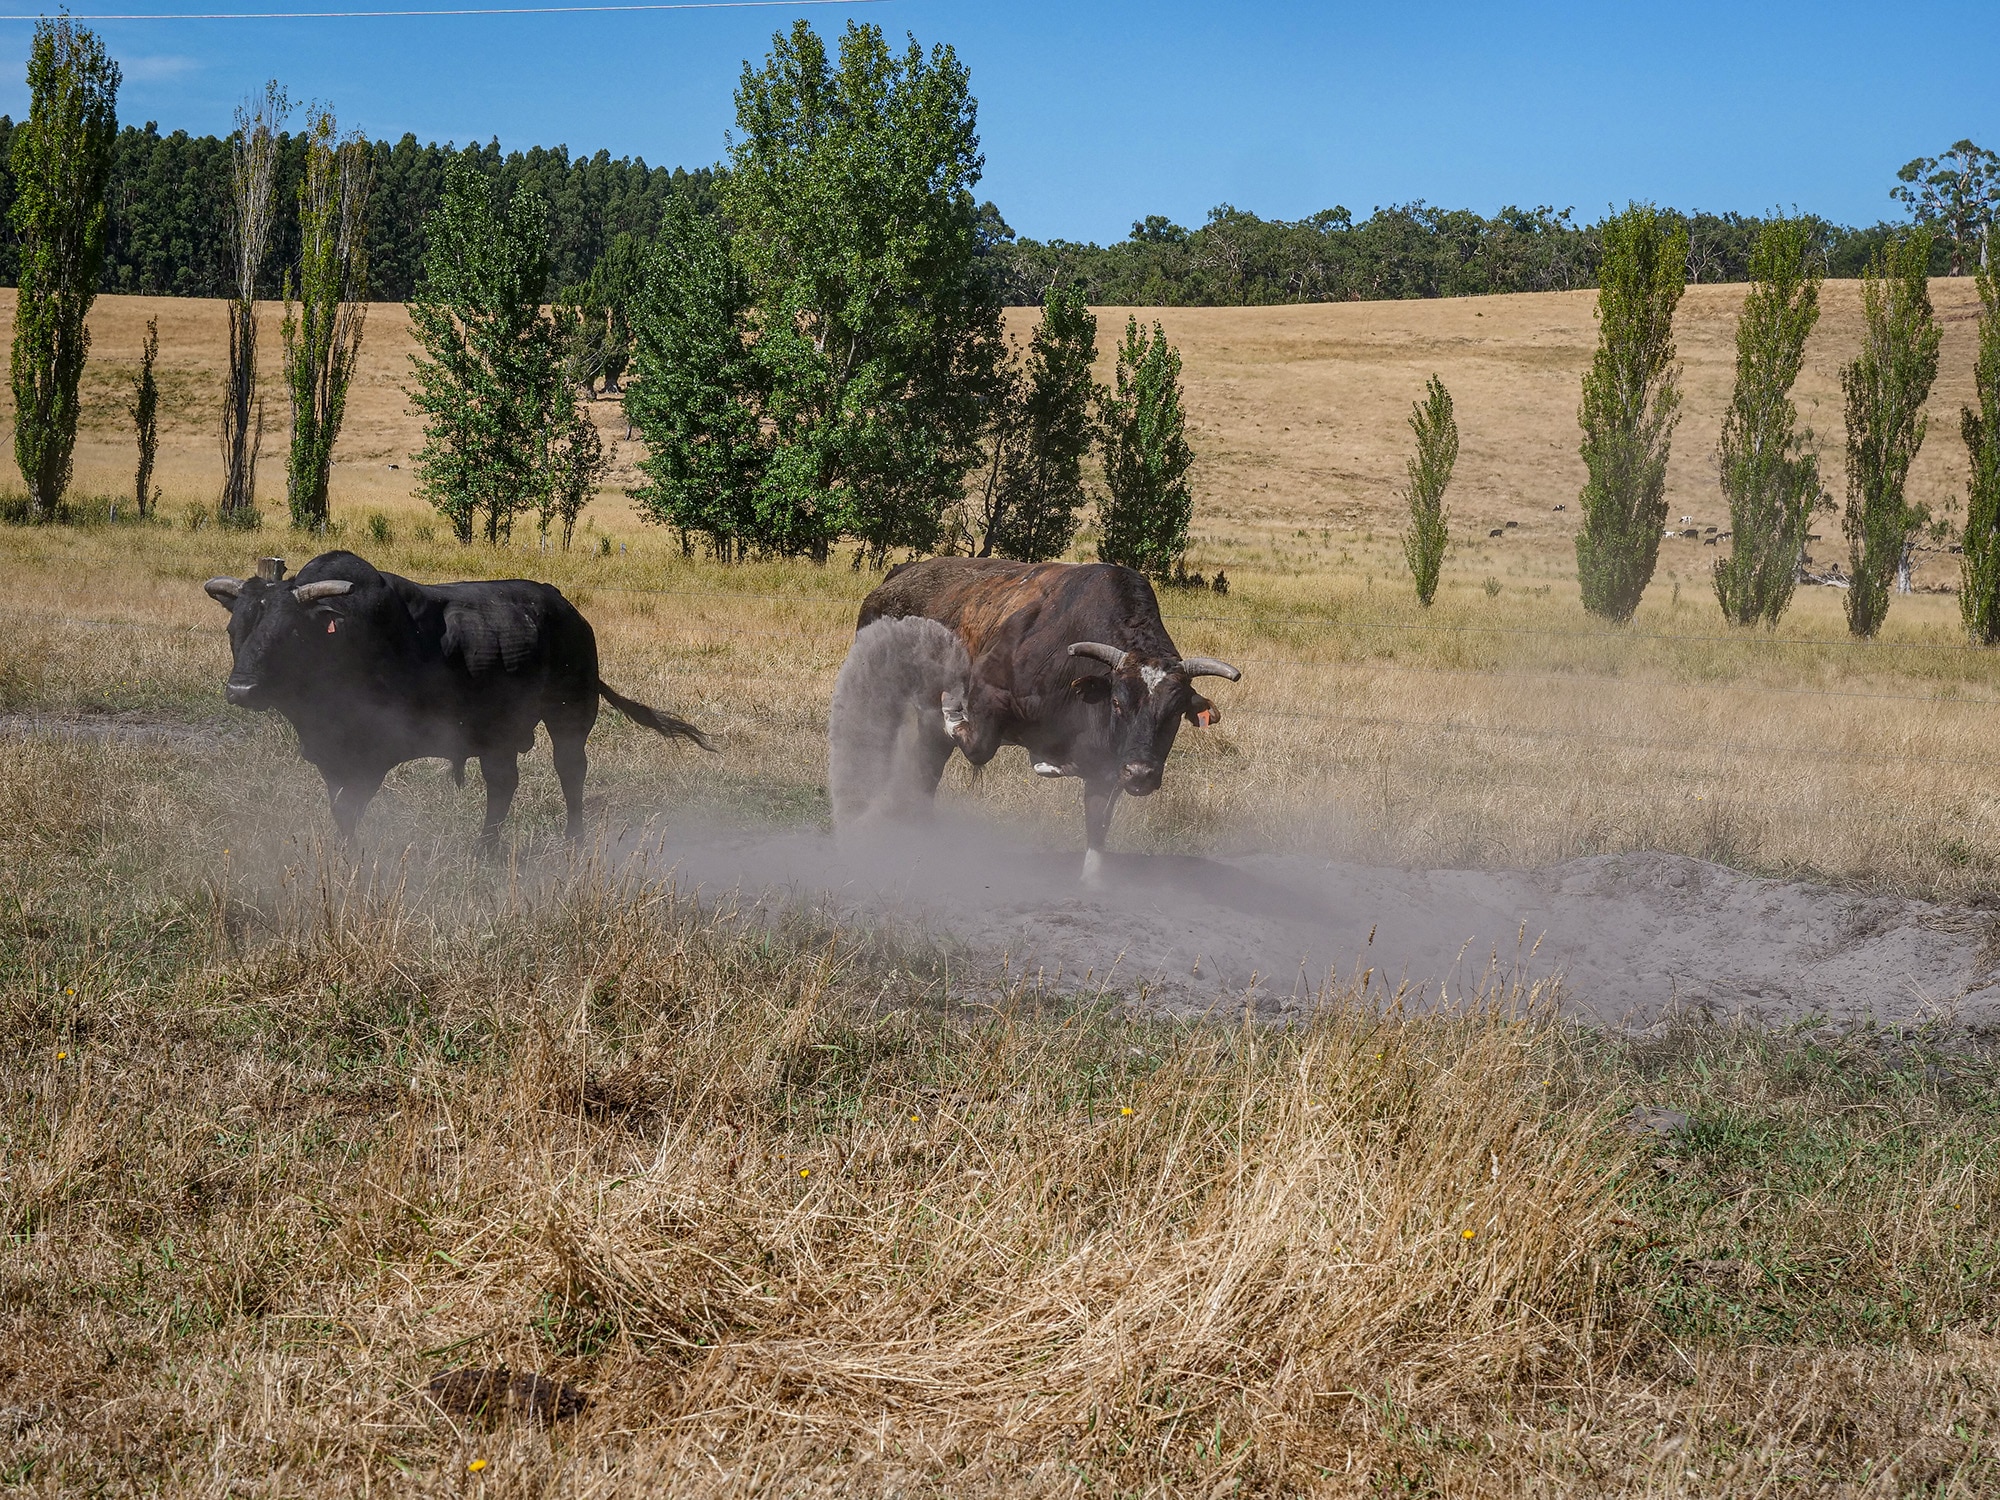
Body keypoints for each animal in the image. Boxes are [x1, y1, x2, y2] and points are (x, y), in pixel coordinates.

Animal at [202, 551, 712, 844]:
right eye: (234, 629)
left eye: (289, 633)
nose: (241, 690)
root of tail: (570, 612)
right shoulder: (333, 759)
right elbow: (338, 810)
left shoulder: (372, 757)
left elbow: (348, 811)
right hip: (498, 733)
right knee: (503, 784)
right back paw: (486, 850)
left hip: (570, 714)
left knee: (571, 773)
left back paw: (572, 842)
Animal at [855, 558, 1240, 883]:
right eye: (1117, 703)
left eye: (1174, 713)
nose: (1141, 773)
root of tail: (900, 575)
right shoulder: (990, 699)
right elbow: (978, 746)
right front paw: (953, 711)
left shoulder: (1108, 767)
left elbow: (1098, 821)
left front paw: (1092, 879)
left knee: (927, 766)